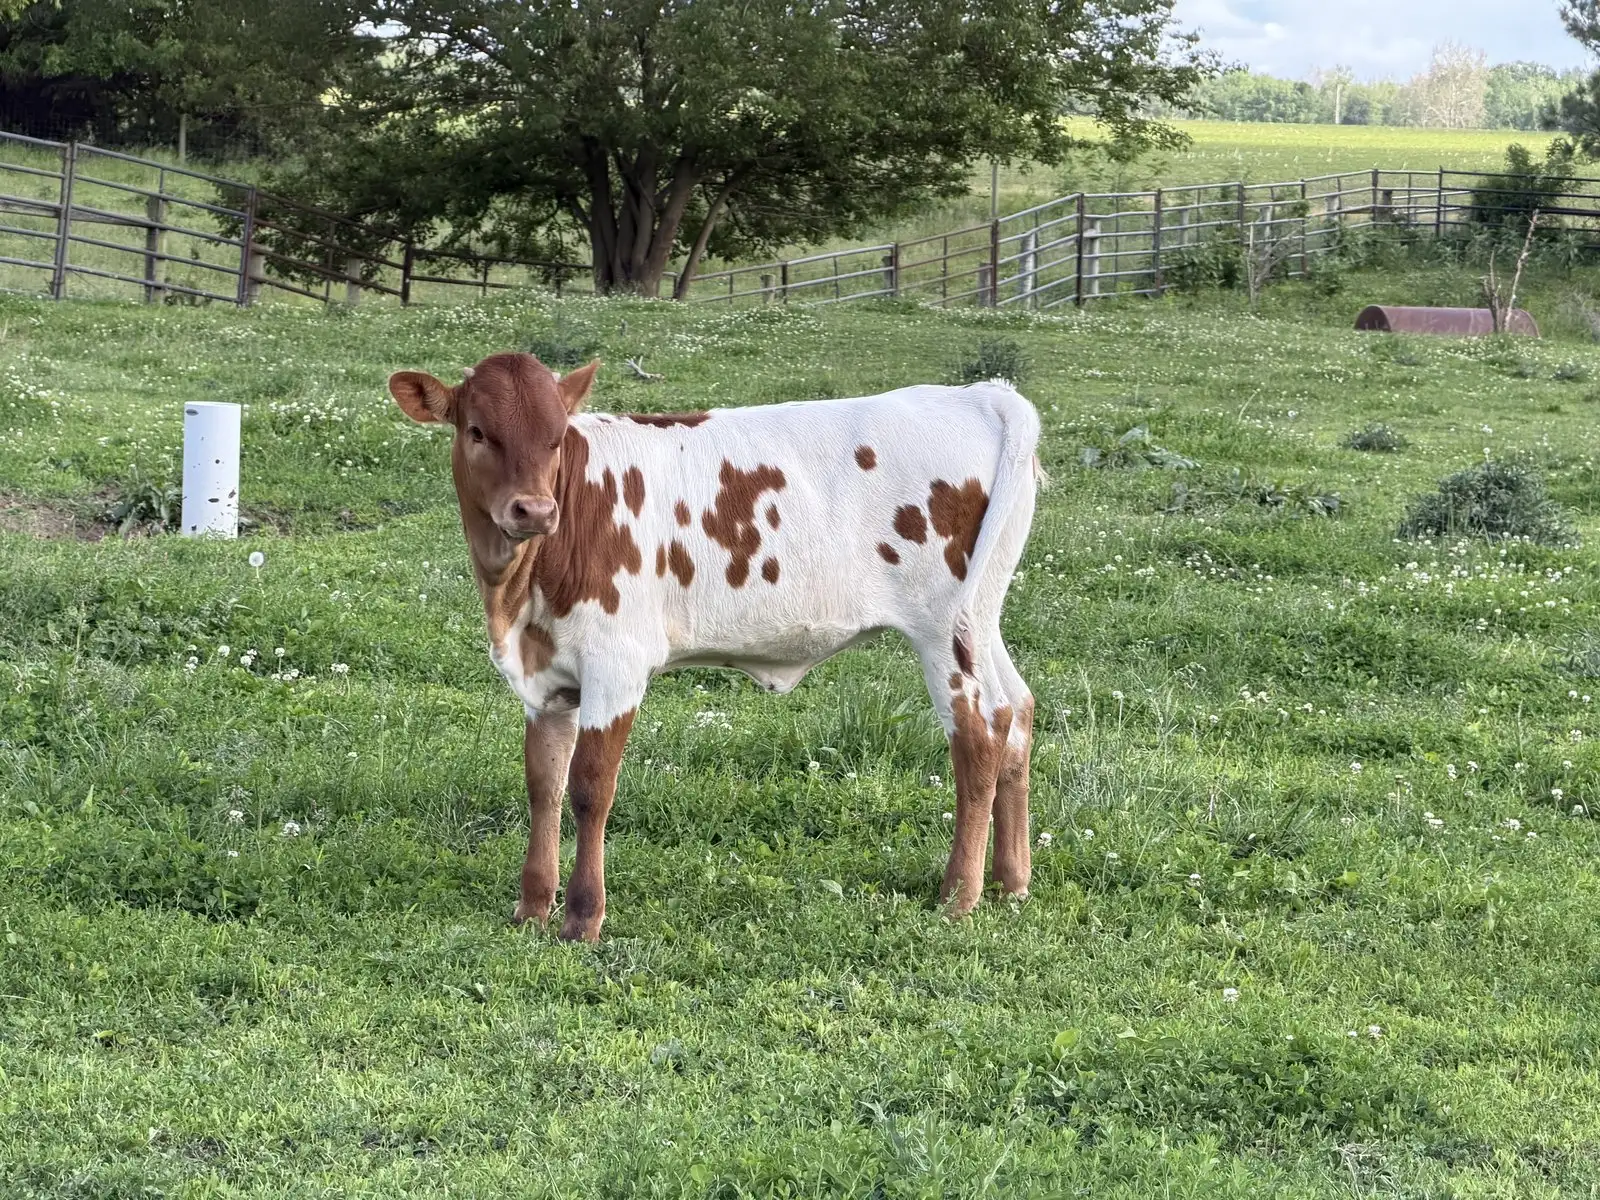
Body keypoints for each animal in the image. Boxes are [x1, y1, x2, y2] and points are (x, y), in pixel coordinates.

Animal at [388, 351, 1040, 942]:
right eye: (477, 431)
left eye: (555, 439)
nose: (534, 509)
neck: (518, 595)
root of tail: (981, 396)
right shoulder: (547, 680)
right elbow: (543, 786)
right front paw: (531, 908)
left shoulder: (616, 663)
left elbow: (590, 788)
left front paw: (582, 918)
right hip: (983, 618)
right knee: (1018, 711)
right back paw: (1011, 881)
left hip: (943, 628)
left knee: (981, 731)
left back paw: (959, 895)